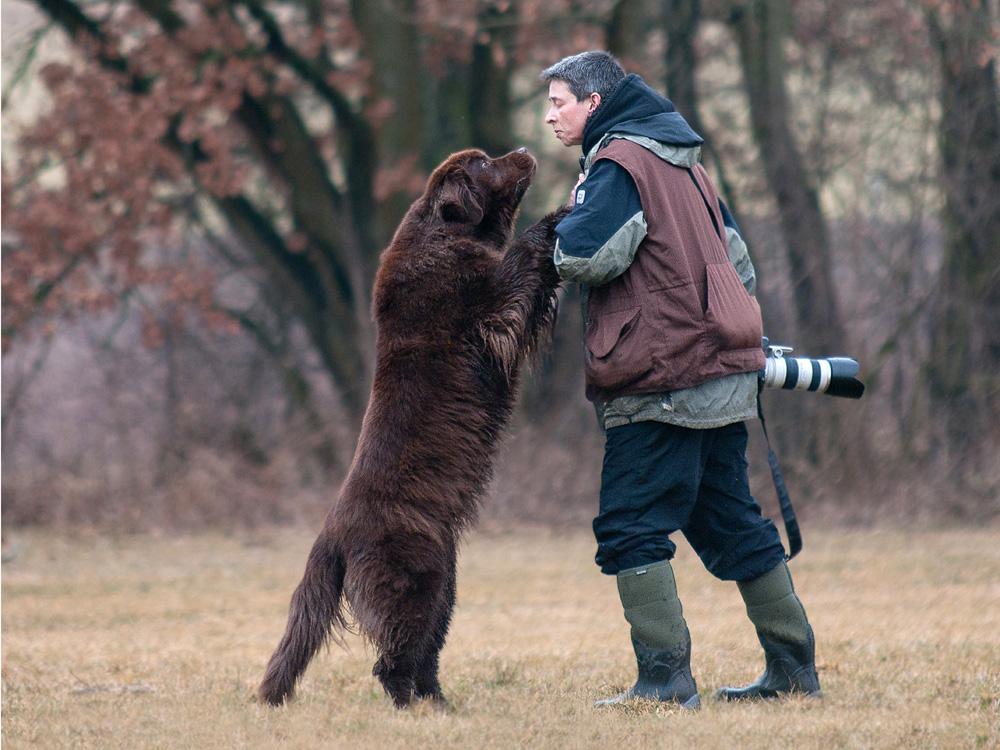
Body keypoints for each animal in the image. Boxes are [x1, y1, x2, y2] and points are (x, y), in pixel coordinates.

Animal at [258, 148, 572, 712]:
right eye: (485, 164)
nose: (524, 150)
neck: (442, 233)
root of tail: (333, 534)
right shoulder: (486, 302)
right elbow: (517, 262)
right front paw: (557, 218)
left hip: (445, 587)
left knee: (426, 653)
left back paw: (441, 705)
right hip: (414, 581)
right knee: (394, 659)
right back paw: (413, 708)